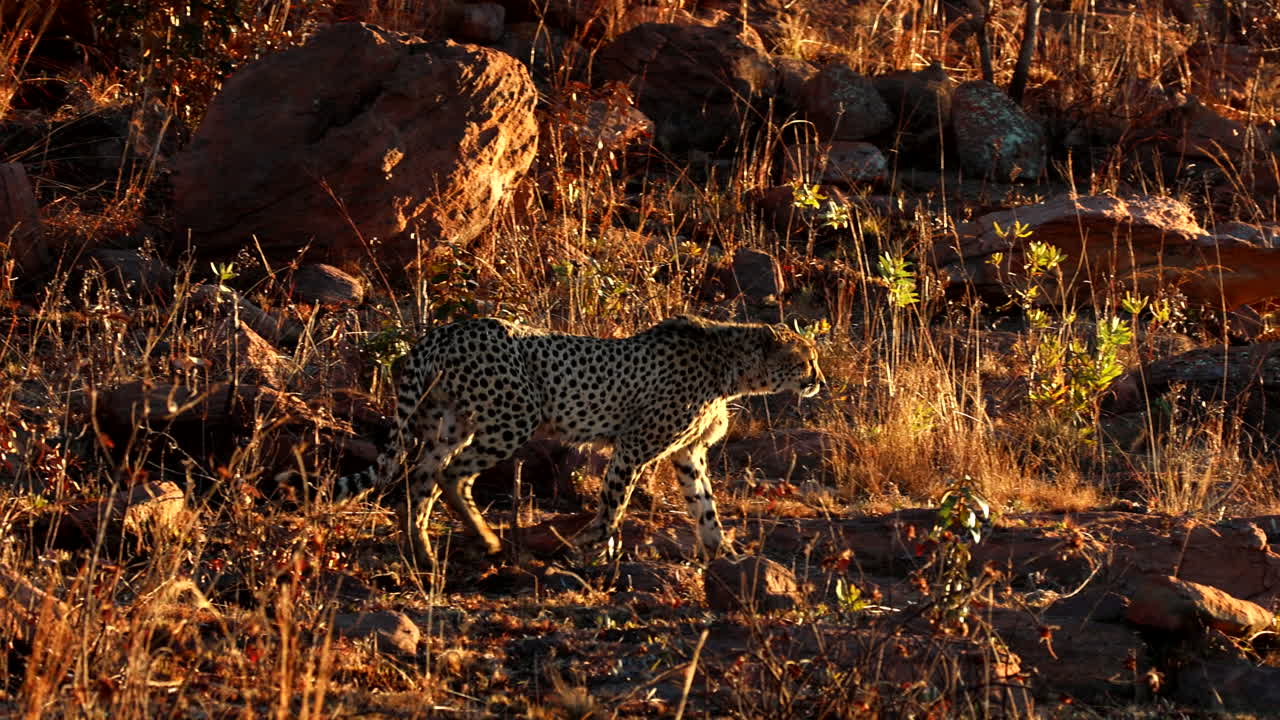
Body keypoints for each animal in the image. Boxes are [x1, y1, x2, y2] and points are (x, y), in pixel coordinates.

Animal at [328, 314, 825, 565]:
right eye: (806, 359)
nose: (820, 380)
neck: (732, 367)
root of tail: (447, 329)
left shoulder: (687, 453)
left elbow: (705, 506)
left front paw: (724, 554)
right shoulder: (633, 446)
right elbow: (614, 503)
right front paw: (592, 544)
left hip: (452, 423)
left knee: (422, 476)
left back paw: (423, 551)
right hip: (513, 417)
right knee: (451, 476)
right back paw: (486, 541)